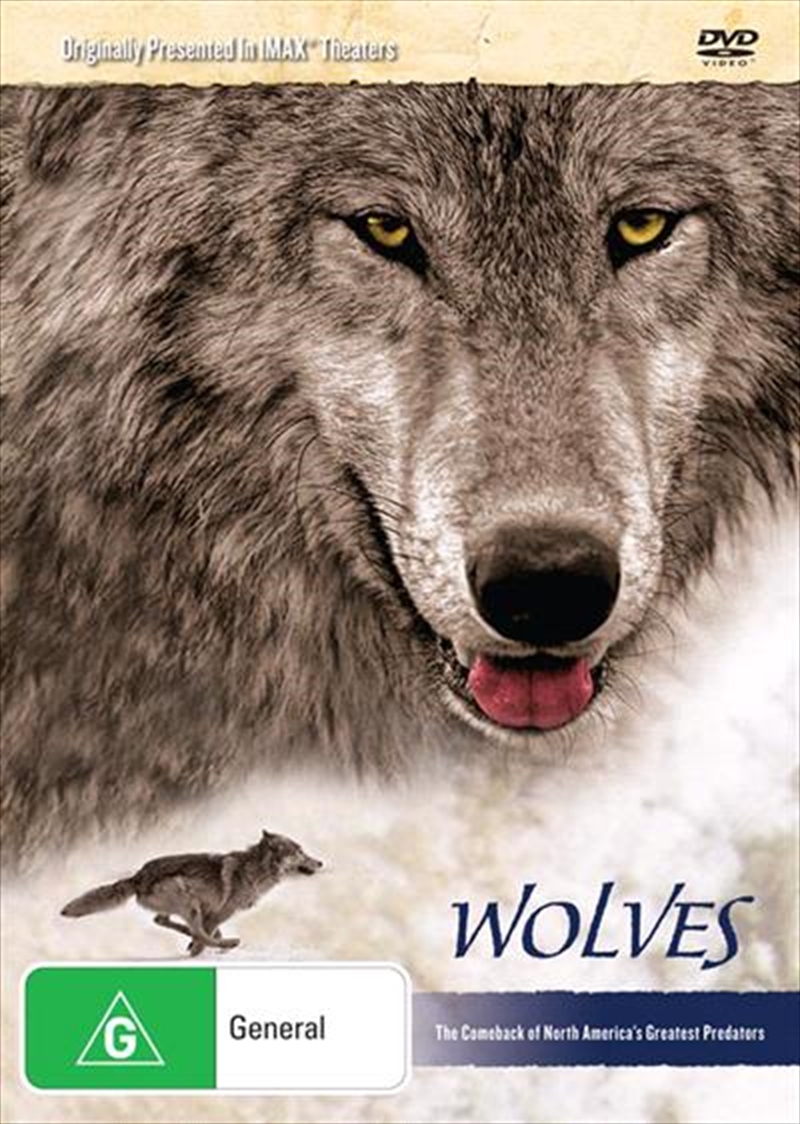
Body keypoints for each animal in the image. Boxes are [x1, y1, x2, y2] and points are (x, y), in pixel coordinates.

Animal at [60, 829, 323, 955]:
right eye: (299, 851)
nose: (321, 862)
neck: (255, 869)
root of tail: (137, 876)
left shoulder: (212, 913)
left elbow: (209, 931)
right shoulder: (221, 911)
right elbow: (207, 935)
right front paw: (202, 952)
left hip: (186, 906)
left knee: (163, 921)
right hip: (188, 899)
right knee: (191, 929)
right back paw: (228, 943)